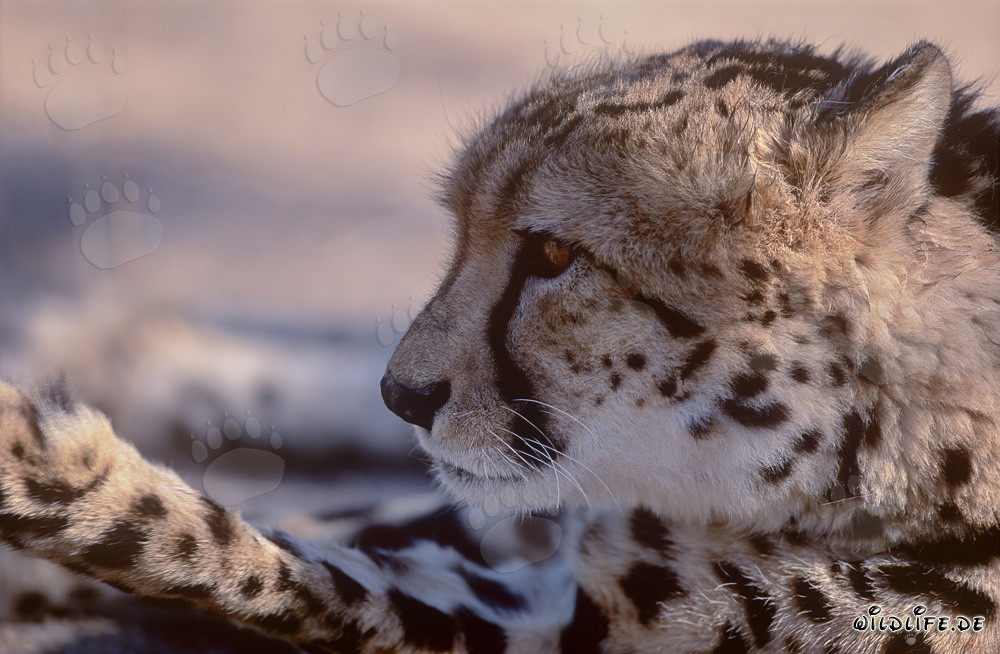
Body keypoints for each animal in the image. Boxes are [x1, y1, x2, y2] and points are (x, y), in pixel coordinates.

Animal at [1, 38, 999, 653]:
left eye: (554, 255)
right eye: (458, 234)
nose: (403, 395)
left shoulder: (561, 616)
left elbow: (259, 561)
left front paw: (37, 464)